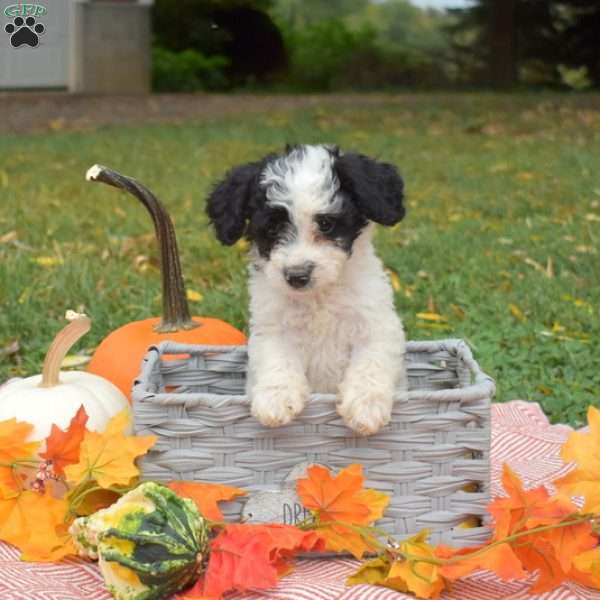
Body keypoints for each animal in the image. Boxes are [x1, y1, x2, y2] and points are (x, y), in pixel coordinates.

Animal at [206, 145, 408, 436]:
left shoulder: (377, 326)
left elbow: (371, 362)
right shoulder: (272, 328)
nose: (297, 275)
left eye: (326, 224)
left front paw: (365, 406)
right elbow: (277, 359)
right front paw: (275, 398)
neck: (319, 297)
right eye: (272, 228)